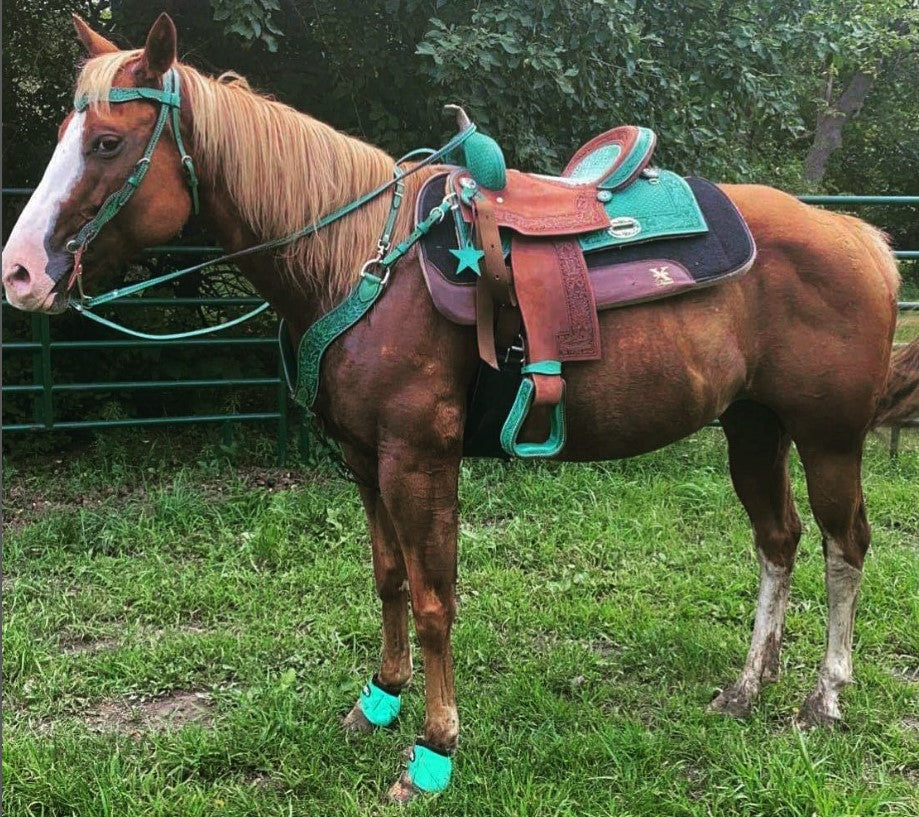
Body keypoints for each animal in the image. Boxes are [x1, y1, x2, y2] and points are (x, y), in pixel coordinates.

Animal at [5, 14, 919, 804]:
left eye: (108, 142)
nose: (20, 271)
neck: (360, 262)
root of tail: (860, 239)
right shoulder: (364, 460)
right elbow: (387, 579)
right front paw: (378, 700)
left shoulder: (419, 459)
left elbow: (434, 597)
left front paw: (433, 751)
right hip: (751, 427)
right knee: (777, 541)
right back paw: (746, 686)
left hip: (827, 436)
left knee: (844, 545)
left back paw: (823, 698)